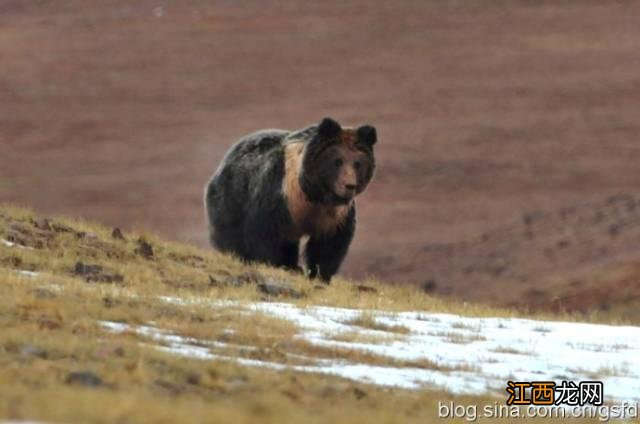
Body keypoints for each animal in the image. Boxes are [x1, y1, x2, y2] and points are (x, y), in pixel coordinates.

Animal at [202, 117, 378, 282]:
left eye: (357, 163)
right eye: (337, 161)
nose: (349, 186)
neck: (313, 194)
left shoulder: (335, 215)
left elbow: (329, 245)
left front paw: (319, 275)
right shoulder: (281, 196)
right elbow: (265, 234)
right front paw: (272, 264)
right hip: (231, 199)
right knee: (230, 235)